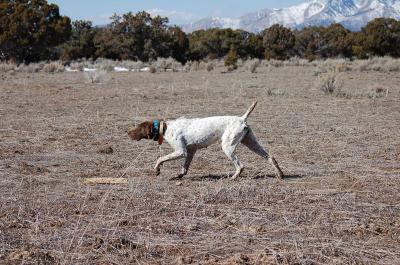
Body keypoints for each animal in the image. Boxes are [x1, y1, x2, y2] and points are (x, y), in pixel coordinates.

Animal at [129, 101, 284, 179]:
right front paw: (179, 175)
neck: (166, 128)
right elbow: (184, 168)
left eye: (138, 128)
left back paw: (234, 177)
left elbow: (160, 158)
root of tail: (242, 118)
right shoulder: (190, 152)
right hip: (251, 143)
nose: (128, 133)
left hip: (228, 147)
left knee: (240, 166)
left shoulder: (181, 151)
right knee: (271, 157)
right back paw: (280, 174)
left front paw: (157, 170)